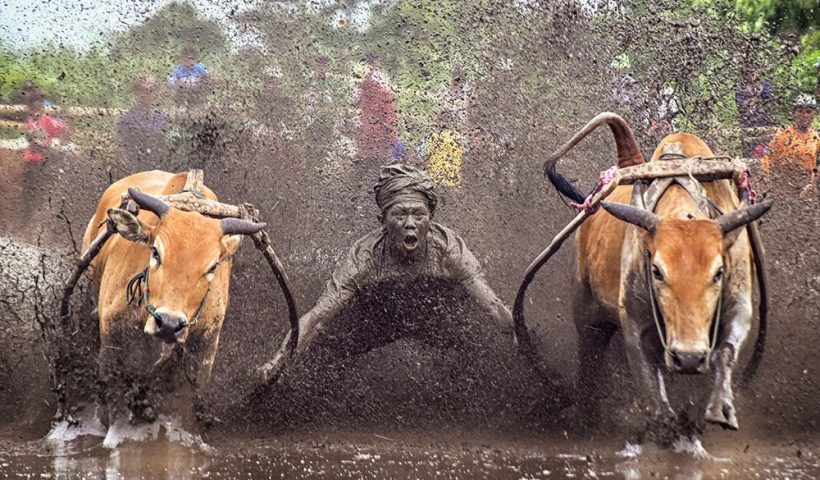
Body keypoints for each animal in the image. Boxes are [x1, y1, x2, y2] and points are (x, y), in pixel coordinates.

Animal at [544, 114, 768, 436]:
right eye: (657, 271)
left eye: (718, 272)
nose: (688, 357)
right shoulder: (634, 321)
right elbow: (649, 380)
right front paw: (664, 423)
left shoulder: (739, 305)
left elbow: (725, 351)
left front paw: (719, 409)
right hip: (587, 312)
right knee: (589, 360)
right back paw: (586, 416)